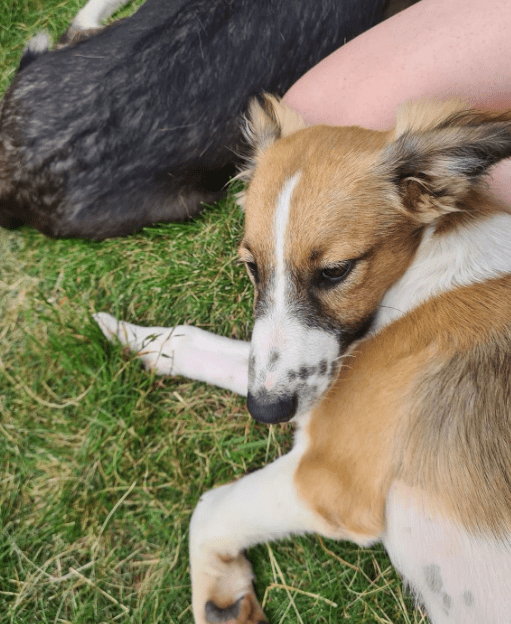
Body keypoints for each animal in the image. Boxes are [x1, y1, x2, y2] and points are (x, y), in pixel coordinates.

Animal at [95, 97, 511, 624]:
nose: (266, 412)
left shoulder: (330, 477)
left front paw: (219, 595)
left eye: (335, 271)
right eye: (251, 266)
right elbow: (202, 344)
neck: (425, 270)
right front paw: (137, 338)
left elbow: (211, 506)